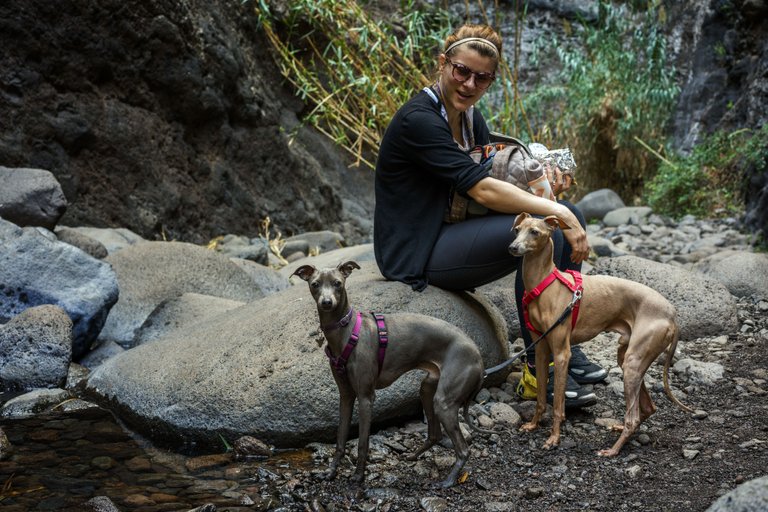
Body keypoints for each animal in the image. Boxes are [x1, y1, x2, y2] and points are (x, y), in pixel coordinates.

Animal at [508, 212, 692, 456]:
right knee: (648, 407)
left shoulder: (562, 353)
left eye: (535, 232)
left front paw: (554, 438)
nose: (512, 247)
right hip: (627, 358)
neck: (545, 284)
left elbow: (557, 405)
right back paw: (620, 430)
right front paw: (533, 424)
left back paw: (613, 450)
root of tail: (672, 313)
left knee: (633, 417)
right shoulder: (540, 349)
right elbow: (540, 399)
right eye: (517, 229)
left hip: (633, 362)